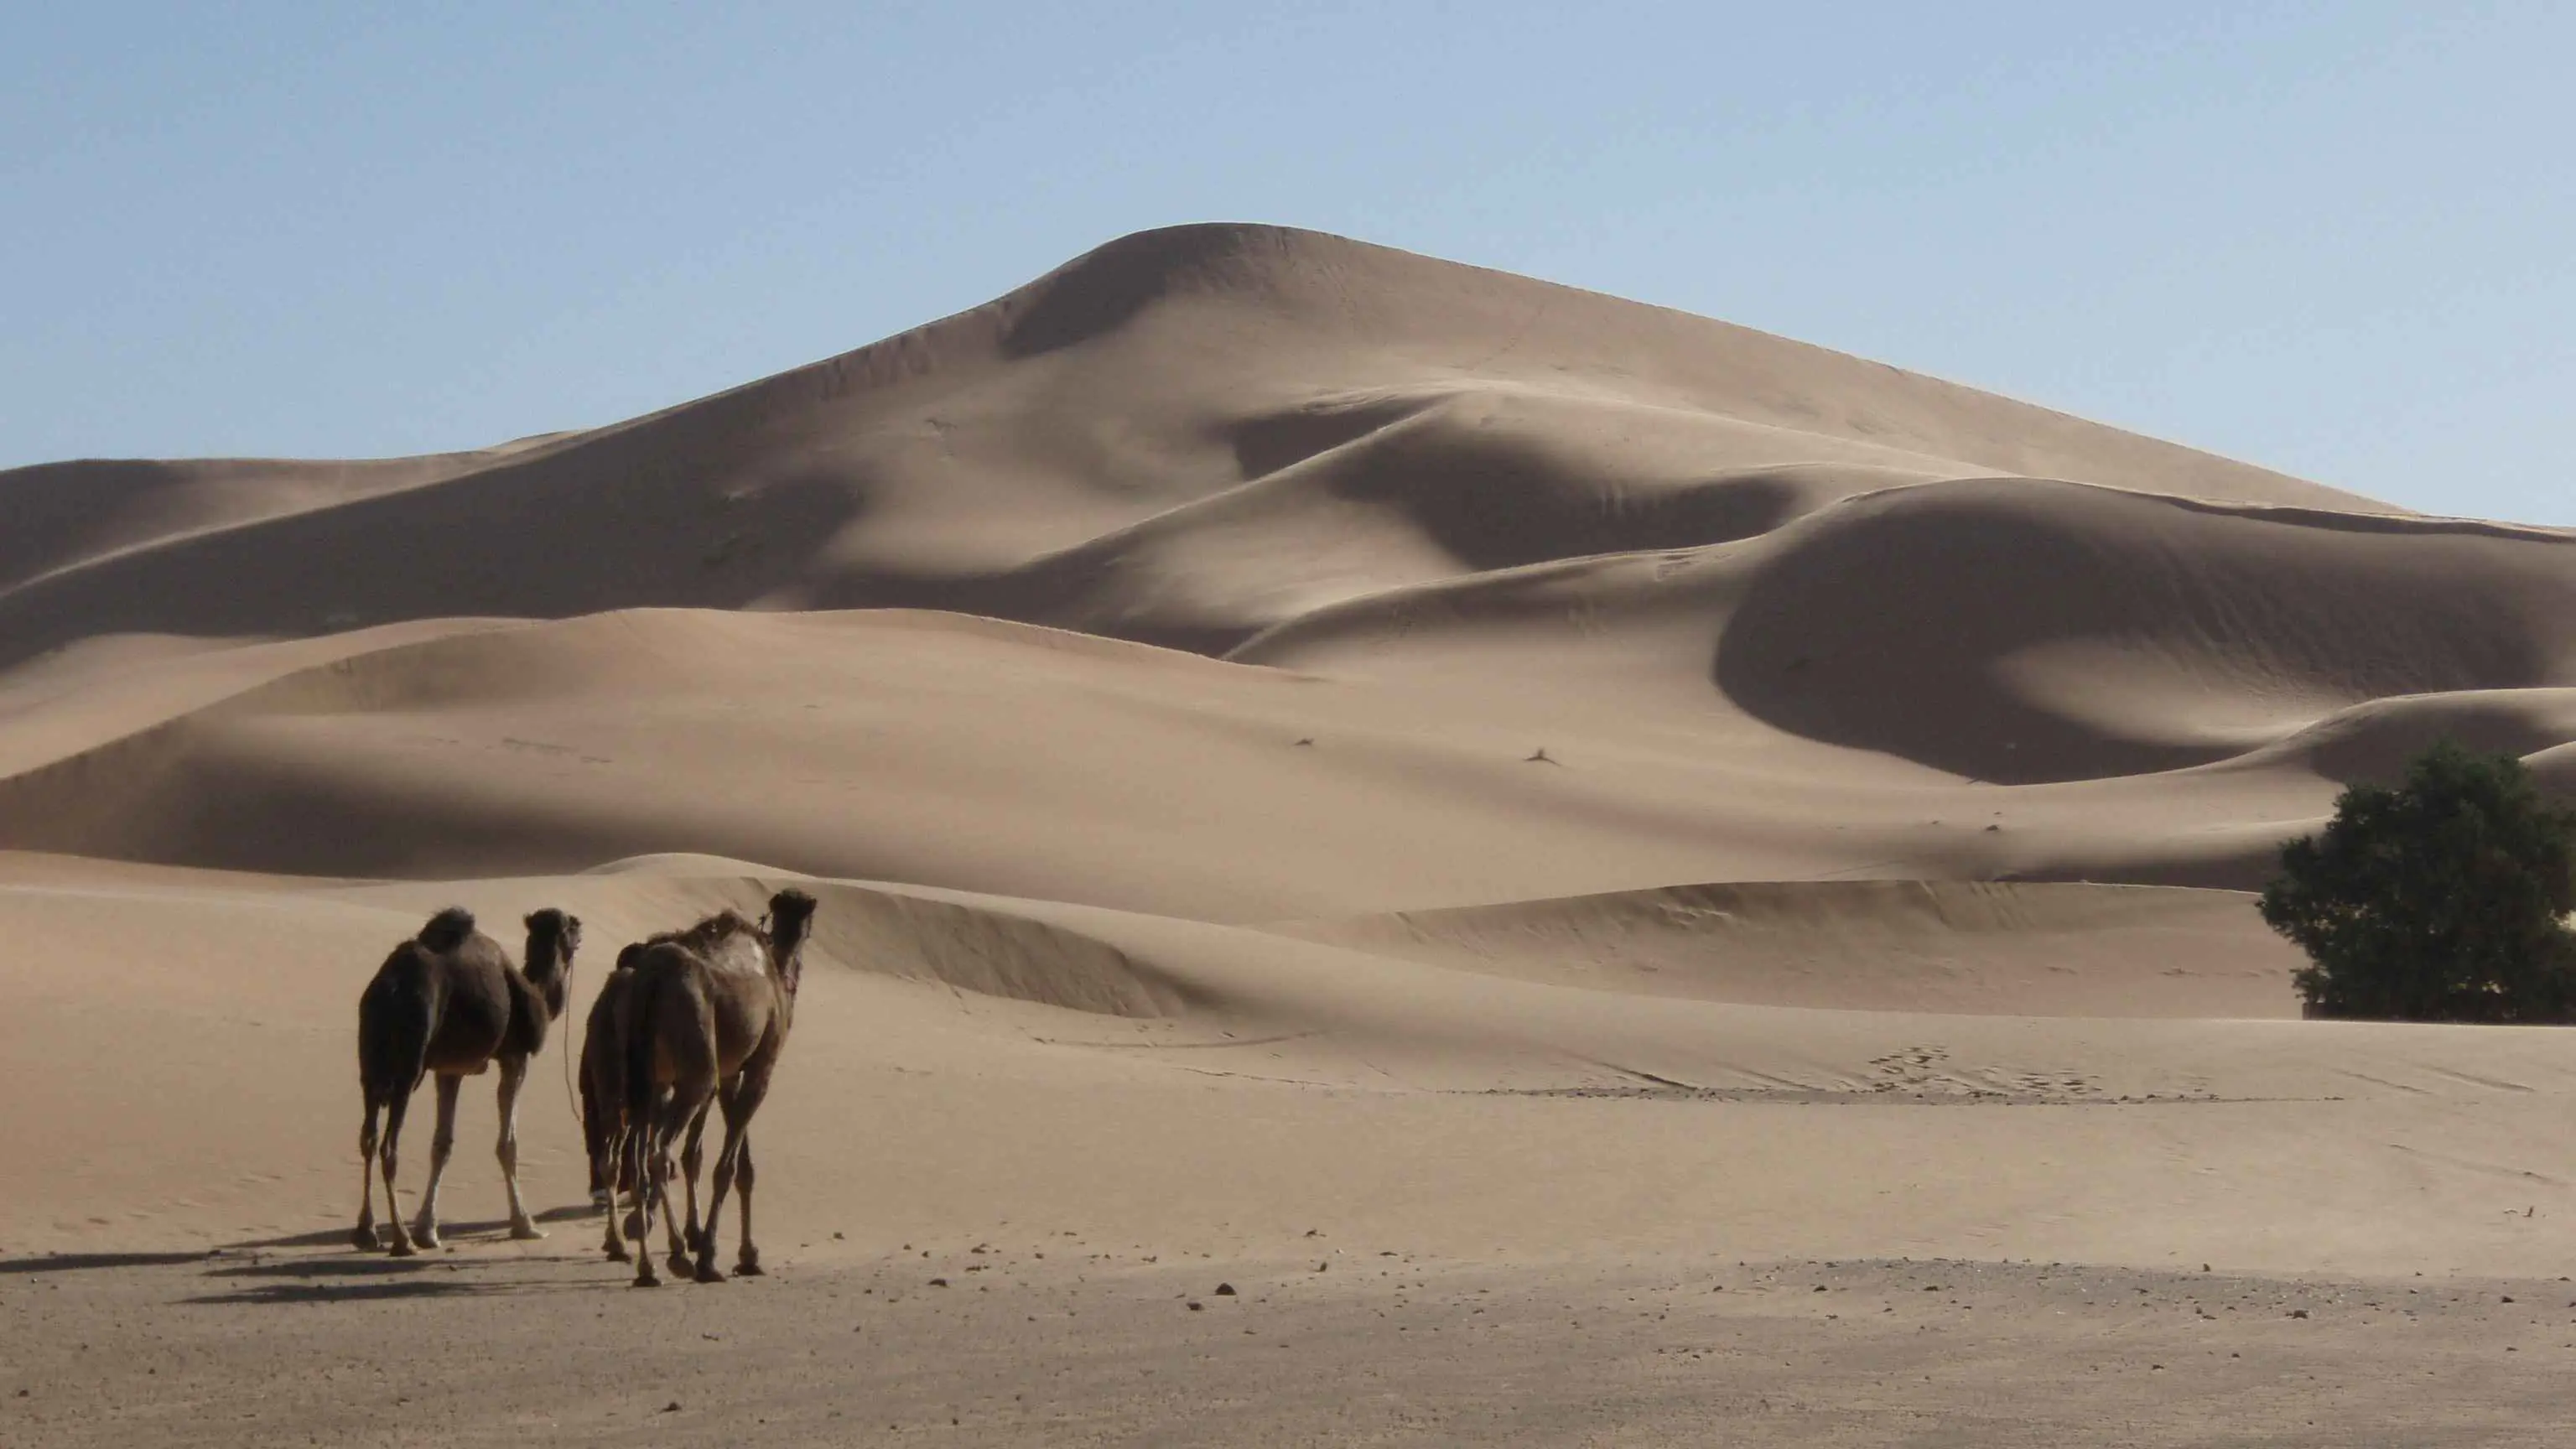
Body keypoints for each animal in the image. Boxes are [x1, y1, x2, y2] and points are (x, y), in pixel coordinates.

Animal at [352, 902, 584, 1253]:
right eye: (571, 925)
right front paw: (525, 1224)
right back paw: (402, 1240)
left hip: (370, 1066)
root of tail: (387, 989)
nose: (581, 928)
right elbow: (508, 1144)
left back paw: (367, 1231)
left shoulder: (449, 1070)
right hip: (408, 1068)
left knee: (368, 1138)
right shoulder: (516, 1057)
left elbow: (442, 1144)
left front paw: (428, 1229)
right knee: (388, 1147)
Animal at [613, 886, 813, 1279]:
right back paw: (678, 1254)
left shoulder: (730, 1073)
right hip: (696, 1070)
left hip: (647, 1076)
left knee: (640, 1157)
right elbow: (727, 1166)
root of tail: (652, 981)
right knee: (659, 1152)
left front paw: (747, 1253)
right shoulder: (760, 1068)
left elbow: (733, 1163)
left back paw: (647, 1265)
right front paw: (710, 1252)